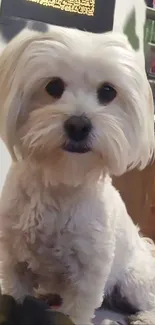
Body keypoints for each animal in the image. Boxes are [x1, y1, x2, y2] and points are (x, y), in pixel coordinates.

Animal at [0, 26, 154, 322]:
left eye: (108, 91)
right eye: (53, 87)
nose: (78, 125)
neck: (62, 179)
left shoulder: (87, 279)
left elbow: (76, 312)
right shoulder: (14, 263)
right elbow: (14, 296)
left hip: (134, 281)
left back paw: (144, 317)